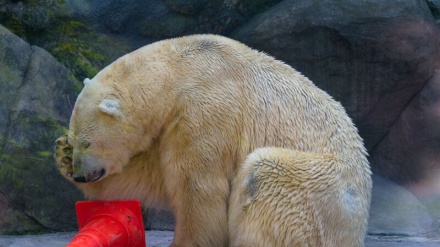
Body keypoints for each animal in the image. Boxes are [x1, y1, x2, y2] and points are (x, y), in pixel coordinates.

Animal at [54, 34, 372, 247]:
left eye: (87, 142)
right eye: (75, 139)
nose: (82, 175)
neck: (180, 69)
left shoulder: (207, 110)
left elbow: (196, 185)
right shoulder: (173, 122)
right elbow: (153, 174)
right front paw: (62, 156)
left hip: (323, 192)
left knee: (265, 174)